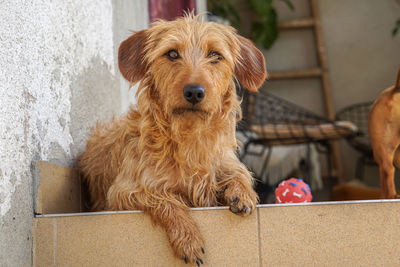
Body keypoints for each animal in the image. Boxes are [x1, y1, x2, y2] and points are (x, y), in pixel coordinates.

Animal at [77, 13, 268, 264]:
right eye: (172, 54)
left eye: (215, 55)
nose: (194, 92)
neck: (189, 138)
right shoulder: (124, 192)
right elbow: (167, 199)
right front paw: (188, 238)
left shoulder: (225, 163)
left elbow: (239, 173)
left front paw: (241, 192)